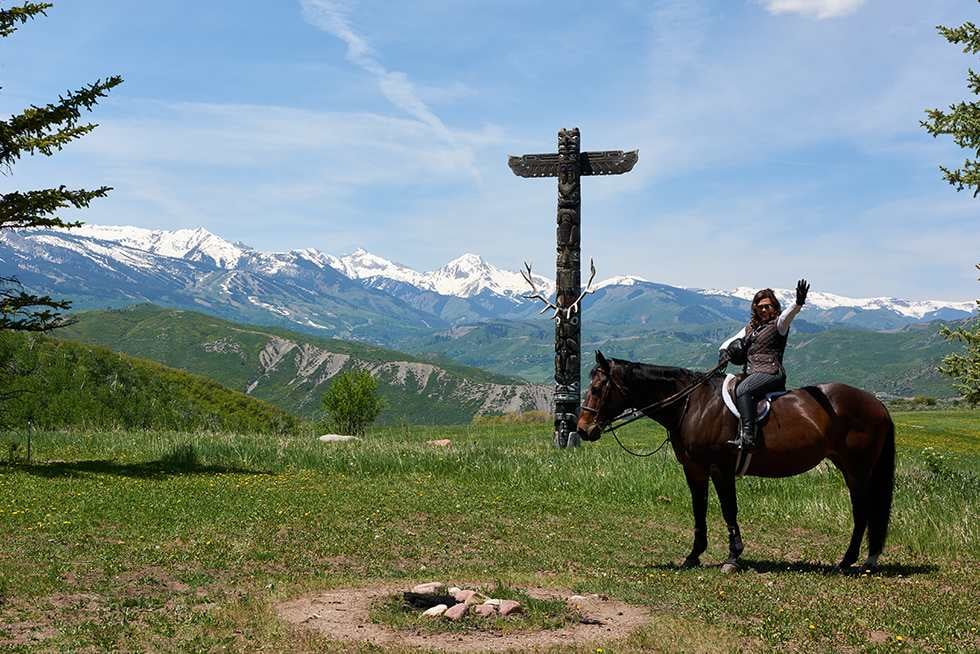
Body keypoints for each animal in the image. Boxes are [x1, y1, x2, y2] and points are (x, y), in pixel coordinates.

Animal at [580, 352, 896, 572]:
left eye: (596, 389)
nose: (583, 429)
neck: (692, 404)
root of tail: (877, 403)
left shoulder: (721, 469)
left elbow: (728, 510)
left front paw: (733, 557)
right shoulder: (694, 469)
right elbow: (699, 510)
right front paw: (693, 555)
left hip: (857, 469)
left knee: (863, 511)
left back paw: (849, 561)